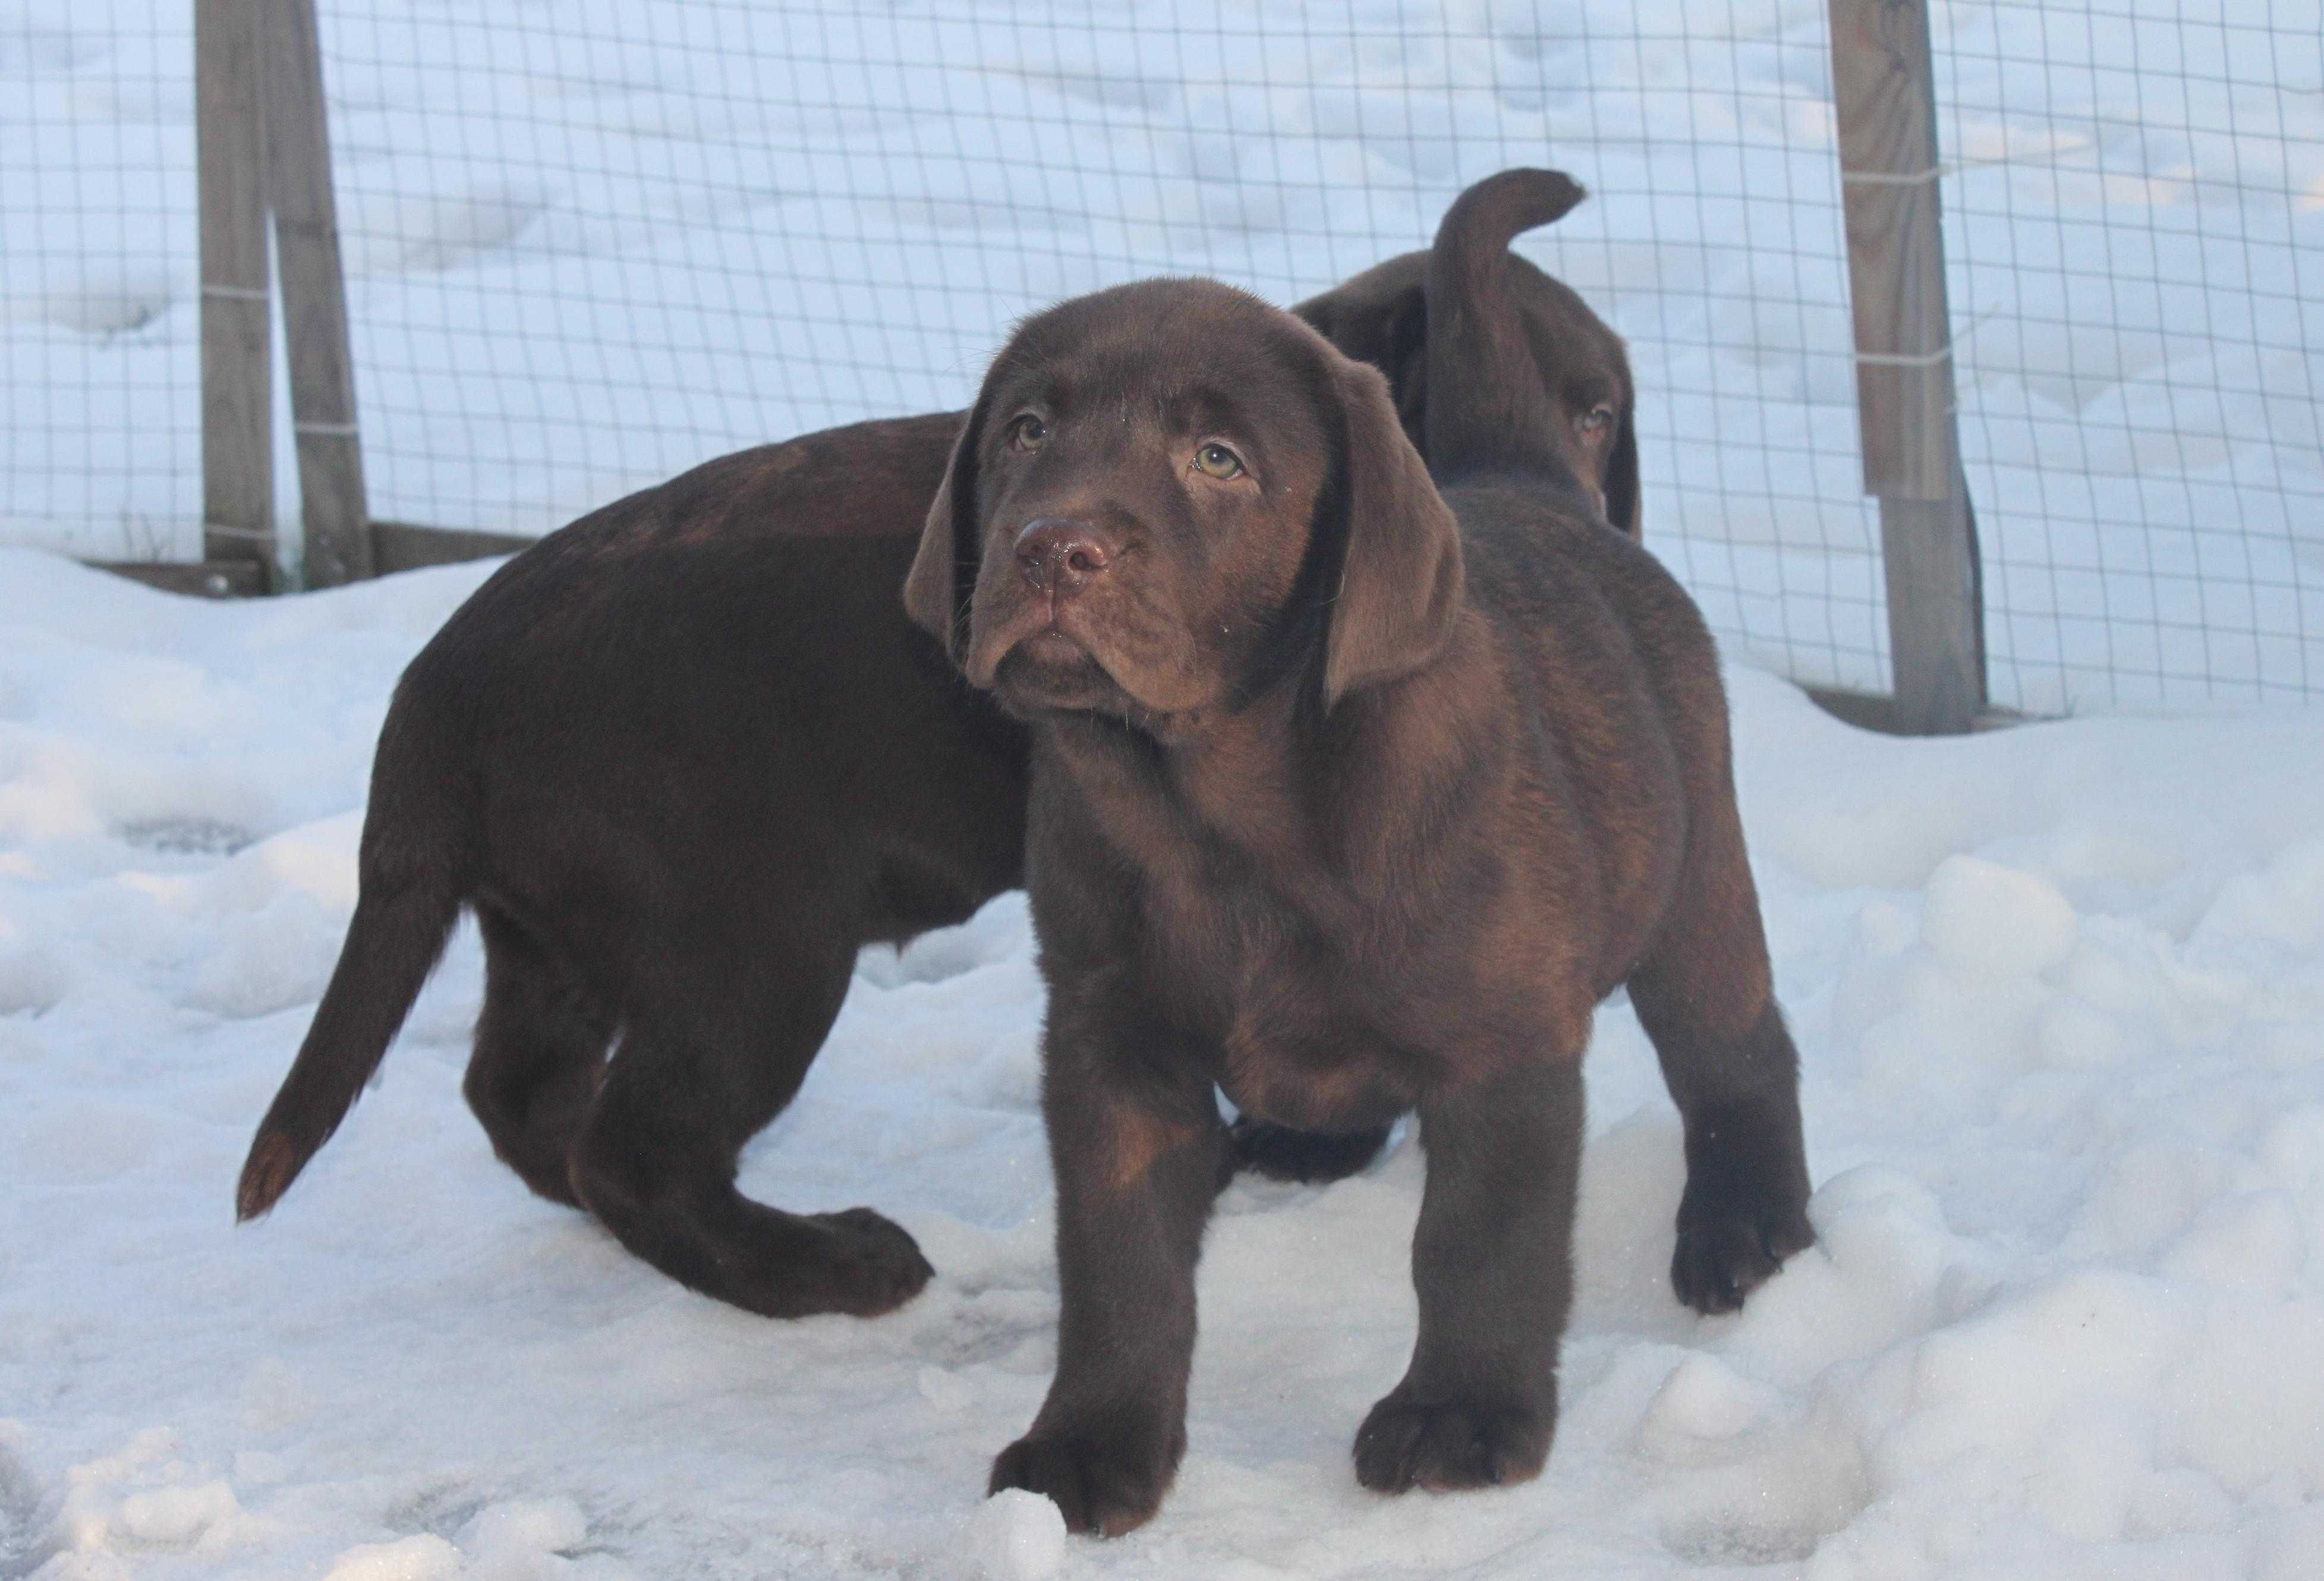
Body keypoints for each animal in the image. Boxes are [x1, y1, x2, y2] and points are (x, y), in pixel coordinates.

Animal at [226, 225, 1645, 1320]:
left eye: (1598, 416)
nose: (1579, 519)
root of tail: (436, 687)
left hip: (561, 927)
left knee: (526, 1101)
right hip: (752, 942)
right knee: (635, 1148)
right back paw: (820, 1266)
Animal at [906, 169, 1812, 1534]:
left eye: (1217, 460)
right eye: (1023, 432)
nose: (1051, 546)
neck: (1213, 805)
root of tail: (1531, 480)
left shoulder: (1504, 1043)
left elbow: (1477, 1244)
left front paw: (1461, 1417)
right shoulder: (1107, 1037)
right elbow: (1118, 1266)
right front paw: (1093, 1445)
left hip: (1692, 876)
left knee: (1737, 1054)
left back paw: (1747, 1220)